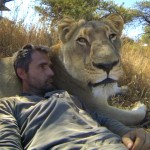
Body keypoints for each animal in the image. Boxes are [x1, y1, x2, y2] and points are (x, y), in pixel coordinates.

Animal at [0, 14, 146, 125]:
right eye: (82, 40)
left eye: (112, 36)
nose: (108, 65)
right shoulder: (96, 107)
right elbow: (133, 116)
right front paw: (140, 106)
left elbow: (114, 88)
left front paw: (124, 88)